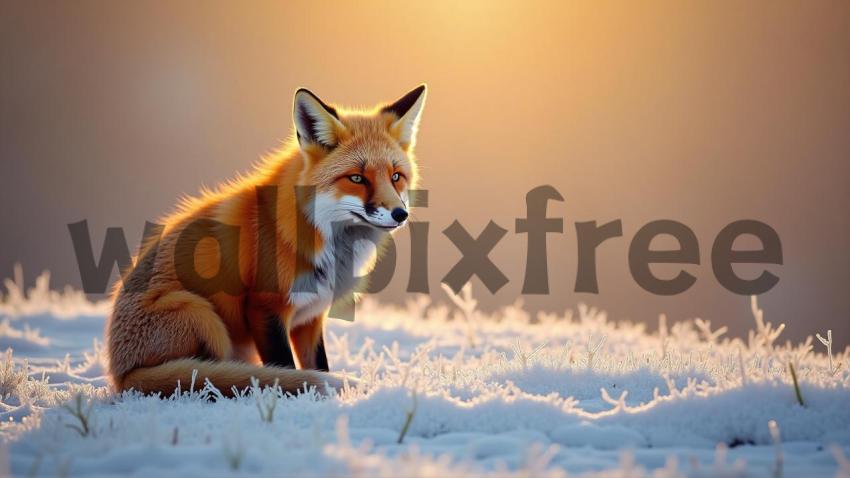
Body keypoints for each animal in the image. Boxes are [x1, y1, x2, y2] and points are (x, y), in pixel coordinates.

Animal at [106, 85, 424, 396]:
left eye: (396, 176)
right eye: (357, 178)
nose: (400, 214)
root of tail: (121, 375)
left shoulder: (310, 318)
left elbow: (318, 364)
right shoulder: (264, 308)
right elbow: (285, 368)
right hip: (201, 314)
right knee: (205, 374)